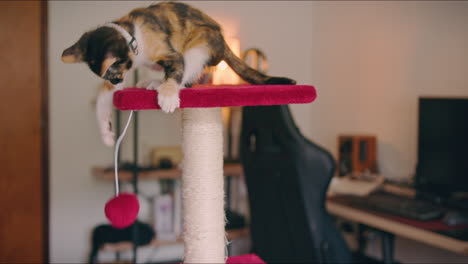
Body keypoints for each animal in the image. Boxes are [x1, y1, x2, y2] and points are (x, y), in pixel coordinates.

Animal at [62, 1, 296, 115]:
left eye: (113, 74)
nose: (116, 82)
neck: (133, 35)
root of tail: (223, 41)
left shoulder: (169, 51)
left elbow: (175, 70)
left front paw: (167, 96)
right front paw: (157, 81)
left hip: (199, 44)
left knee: (187, 74)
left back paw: (160, 85)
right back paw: (151, 81)